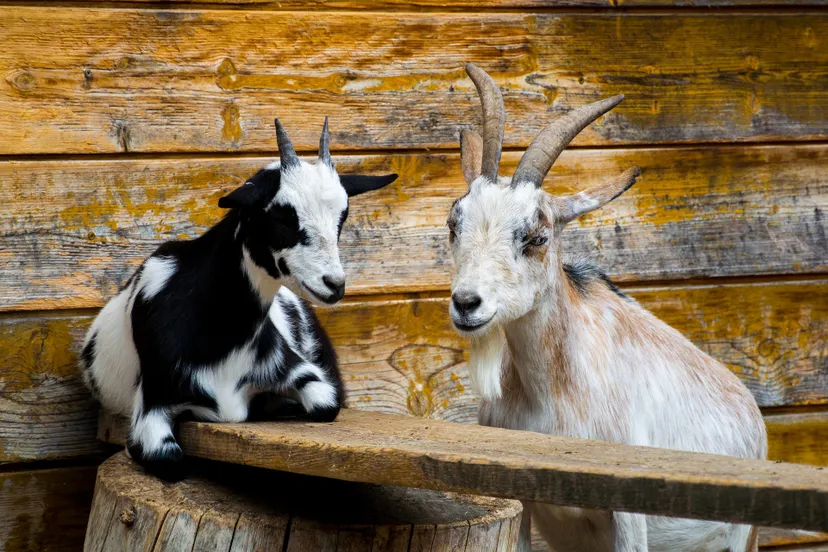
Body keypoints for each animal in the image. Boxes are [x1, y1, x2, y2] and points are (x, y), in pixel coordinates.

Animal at [80, 118, 397, 480]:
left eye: (342, 217)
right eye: (281, 216)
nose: (334, 284)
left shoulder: (297, 371)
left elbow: (325, 405)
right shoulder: (154, 403)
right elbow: (169, 460)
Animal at [446, 64, 767, 552]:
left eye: (538, 236)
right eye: (453, 223)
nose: (467, 304)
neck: (553, 394)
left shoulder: (629, 512)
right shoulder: (519, 499)